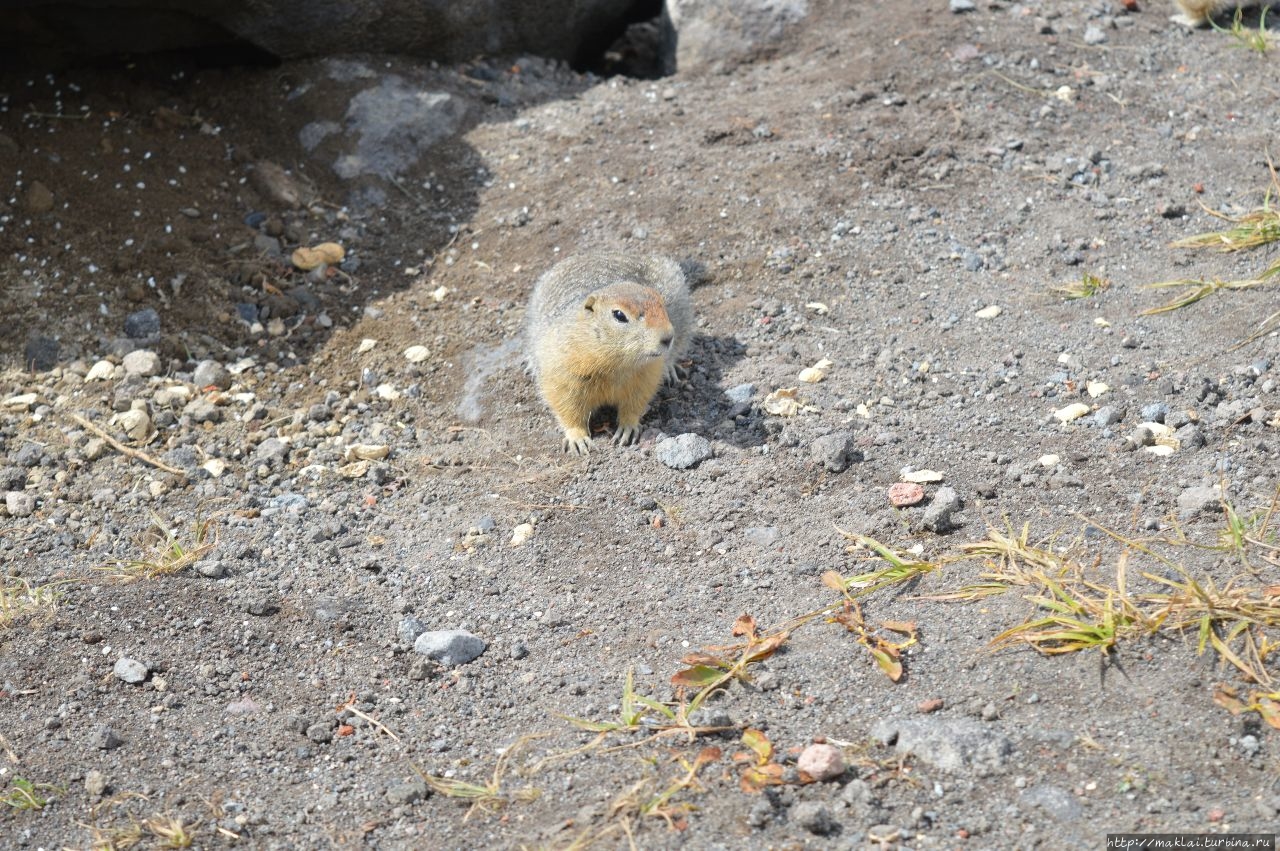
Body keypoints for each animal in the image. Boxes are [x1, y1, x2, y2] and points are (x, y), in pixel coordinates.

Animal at [524, 250, 696, 455]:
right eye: (619, 315)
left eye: (662, 302)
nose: (668, 337)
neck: (616, 364)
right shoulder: (562, 372)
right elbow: (566, 406)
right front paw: (578, 439)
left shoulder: (646, 374)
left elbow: (636, 402)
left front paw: (627, 428)